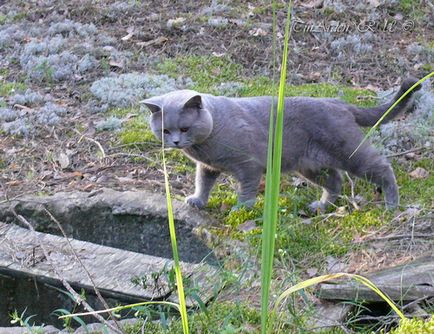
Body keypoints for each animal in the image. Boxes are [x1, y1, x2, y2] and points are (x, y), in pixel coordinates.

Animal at [142, 78, 420, 211]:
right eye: (165, 130)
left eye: (185, 128)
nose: (176, 141)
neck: (205, 147)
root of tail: (339, 103)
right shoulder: (208, 167)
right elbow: (203, 183)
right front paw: (197, 200)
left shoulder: (249, 165)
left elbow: (247, 190)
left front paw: (241, 209)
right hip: (309, 166)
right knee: (335, 181)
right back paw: (321, 206)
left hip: (348, 150)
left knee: (382, 167)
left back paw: (392, 206)